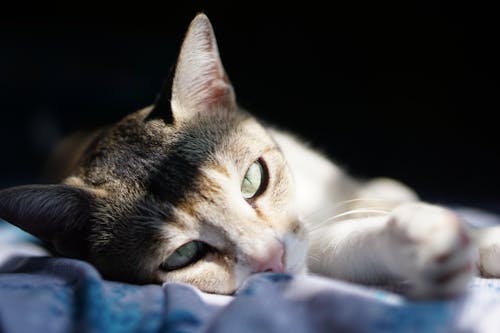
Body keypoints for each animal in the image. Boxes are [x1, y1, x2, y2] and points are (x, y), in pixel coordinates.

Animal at [0, 13, 500, 298]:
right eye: (183, 255)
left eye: (252, 179)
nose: (271, 256)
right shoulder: (312, 251)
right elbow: (343, 244)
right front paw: (429, 242)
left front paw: (477, 234)